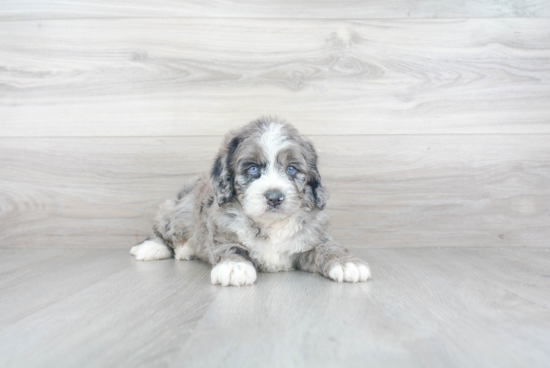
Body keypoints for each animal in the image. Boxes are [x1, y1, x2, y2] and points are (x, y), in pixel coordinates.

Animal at [130, 116, 370, 286]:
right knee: (163, 231)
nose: (274, 197)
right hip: (179, 208)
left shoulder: (313, 238)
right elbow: (231, 247)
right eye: (253, 169)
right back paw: (155, 248)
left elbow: (328, 247)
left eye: (291, 169)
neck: (269, 225)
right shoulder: (222, 231)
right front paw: (234, 267)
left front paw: (346, 263)